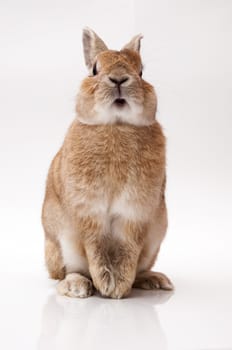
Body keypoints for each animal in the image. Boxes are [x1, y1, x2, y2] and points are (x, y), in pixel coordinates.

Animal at [41, 27, 173, 298]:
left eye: (141, 71)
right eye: (94, 69)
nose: (120, 79)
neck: (117, 124)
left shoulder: (136, 213)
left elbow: (128, 248)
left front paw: (118, 287)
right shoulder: (90, 212)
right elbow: (96, 247)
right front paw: (106, 285)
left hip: (156, 237)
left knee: (141, 266)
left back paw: (155, 280)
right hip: (60, 242)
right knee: (69, 270)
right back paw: (76, 286)